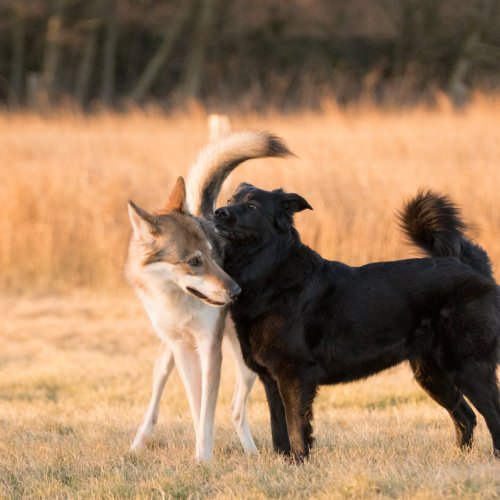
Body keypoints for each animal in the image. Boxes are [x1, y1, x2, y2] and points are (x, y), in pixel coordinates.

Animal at [125, 130, 292, 460]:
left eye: (213, 254)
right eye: (194, 262)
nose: (236, 292)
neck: (178, 300)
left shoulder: (210, 349)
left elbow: (207, 411)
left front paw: (203, 458)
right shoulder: (184, 350)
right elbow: (197, 407)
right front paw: (202, 457)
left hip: (246, 366)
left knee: (236, 410)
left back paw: (253, 454)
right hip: (168, 358)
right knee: (156, 403)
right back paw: (138, 443)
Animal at [215, 186, 500, 458]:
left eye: (252, 206)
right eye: (230, 201)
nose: (218, 212)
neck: (272, 272)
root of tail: (474, 267)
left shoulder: (293, 374)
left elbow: (296, 427)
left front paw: (300, 462)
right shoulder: (272, 381)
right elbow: (279, 431)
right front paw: (287, 465)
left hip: (468, 366)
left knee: (492, 415)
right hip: (432, 373)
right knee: (466, 416)